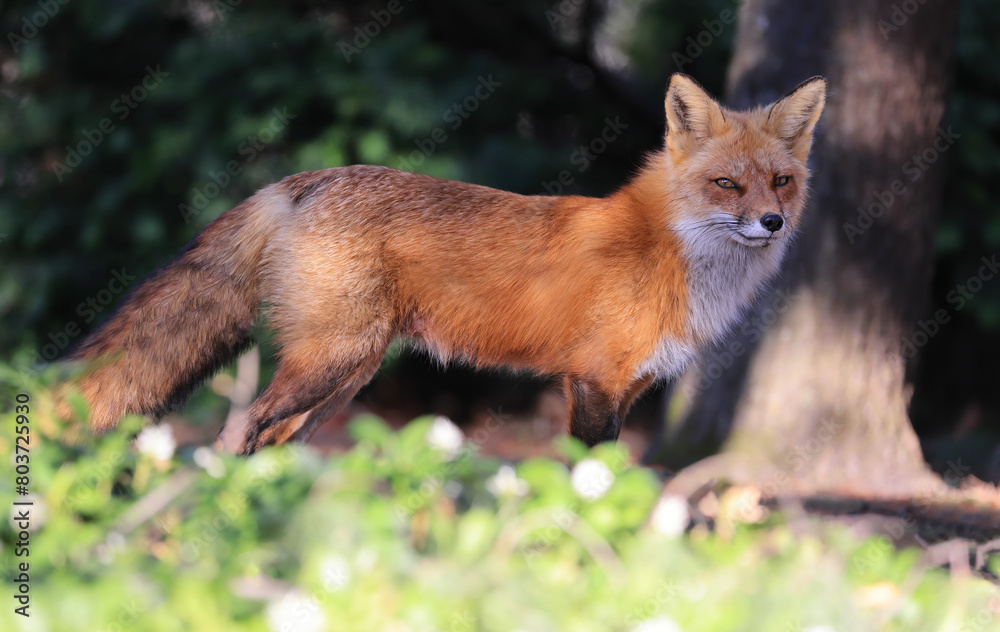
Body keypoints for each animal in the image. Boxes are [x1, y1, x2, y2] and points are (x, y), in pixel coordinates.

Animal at [61, 73, 826, 455]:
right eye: (727, 185)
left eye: (780, 182)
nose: (773, 223)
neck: (673, 253)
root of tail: (308, 178)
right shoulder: (593, 383)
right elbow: (587, 483)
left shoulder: (628, 390)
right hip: (333, 362)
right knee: (235, 431)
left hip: (346, 377)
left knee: (272, 441)